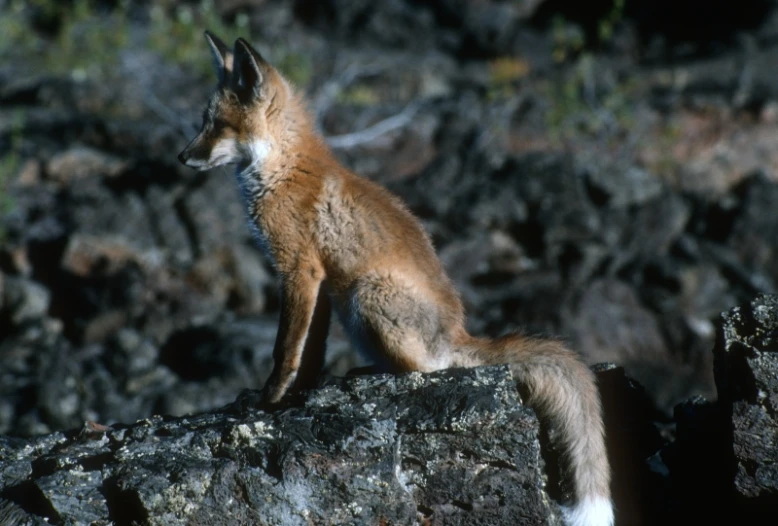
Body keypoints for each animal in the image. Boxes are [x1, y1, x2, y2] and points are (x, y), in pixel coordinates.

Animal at [176, 32, 612, 526]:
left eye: (219, 125)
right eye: (205, 122)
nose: (182, 157)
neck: (281, 168)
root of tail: (458, 333)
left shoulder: (298, 269)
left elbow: (285, 350)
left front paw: (266, 402)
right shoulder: (319, 284)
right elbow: (311, 353)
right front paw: (298, 395)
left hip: (366, 294)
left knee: (430, 371)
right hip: (350, 306)